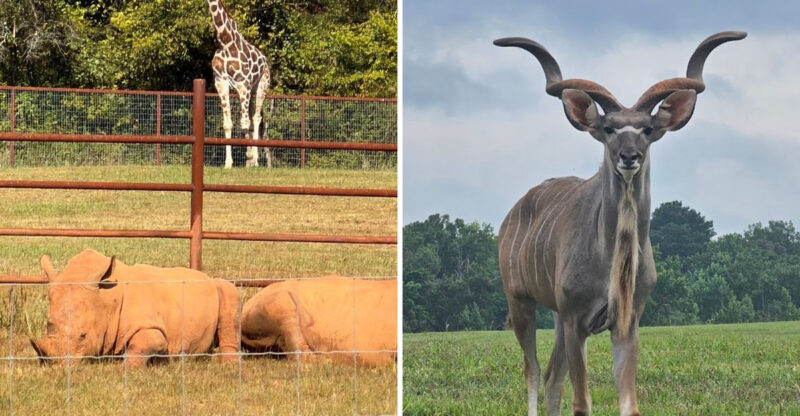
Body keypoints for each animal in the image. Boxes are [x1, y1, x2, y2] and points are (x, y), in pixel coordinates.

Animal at [30, 249, 241, 367]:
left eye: (83, 336)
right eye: (48, 326)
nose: (56, 365)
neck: (107, 299)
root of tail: (205, 276)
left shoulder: (154, 329)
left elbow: (143, 344)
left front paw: (123, 367)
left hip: (220, 286)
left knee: (228, 292)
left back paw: (227, 364)